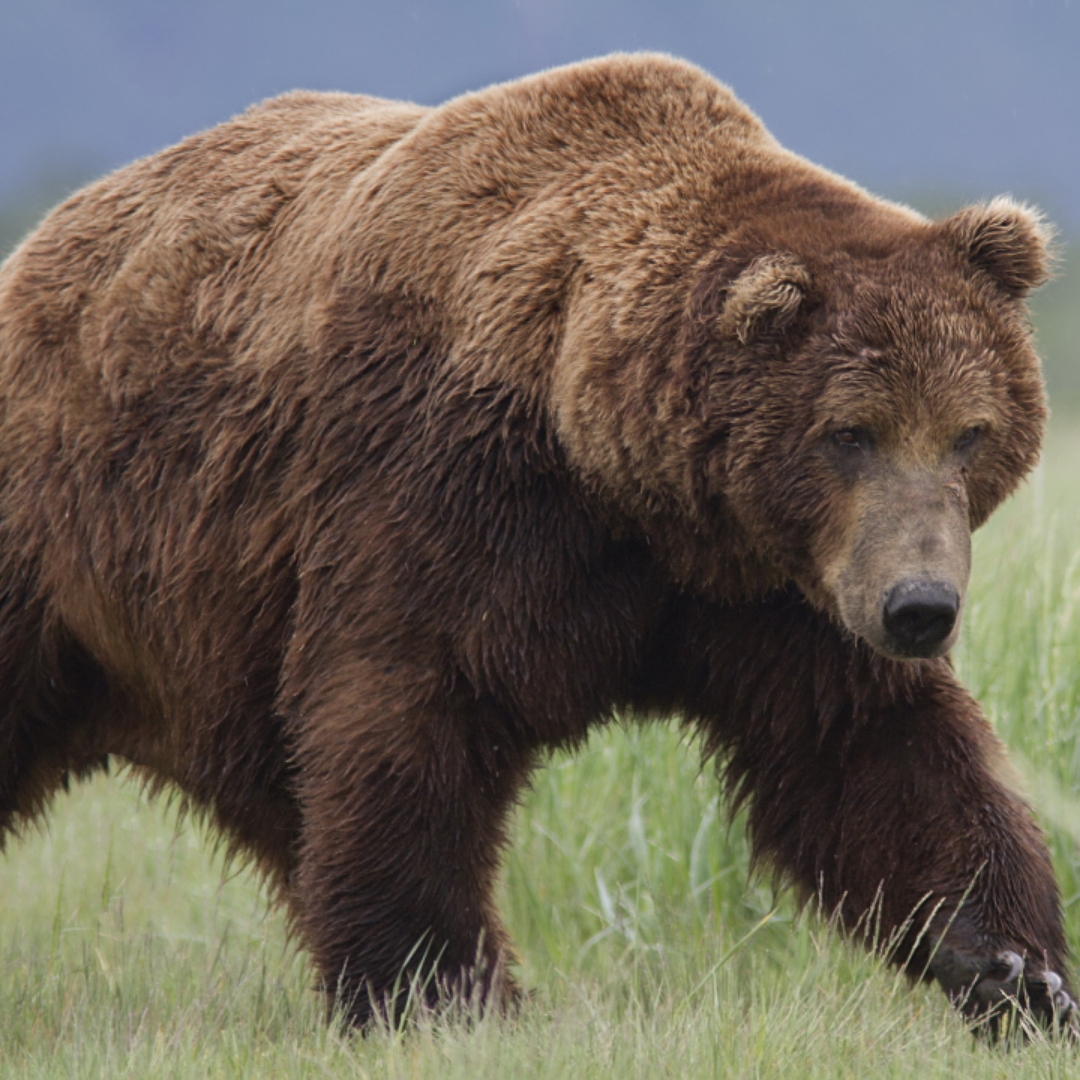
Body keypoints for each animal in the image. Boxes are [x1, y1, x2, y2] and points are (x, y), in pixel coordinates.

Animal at [0, 52, 1067, 1028]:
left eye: (969, 430)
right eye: (850, 432)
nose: (921, 608)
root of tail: (40, 246)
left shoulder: (769, 589)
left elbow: (865, 749)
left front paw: (1013, 966)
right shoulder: (445, 493)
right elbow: (404, 723)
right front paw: (444, 991)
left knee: (283, 806)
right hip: (70, 535)